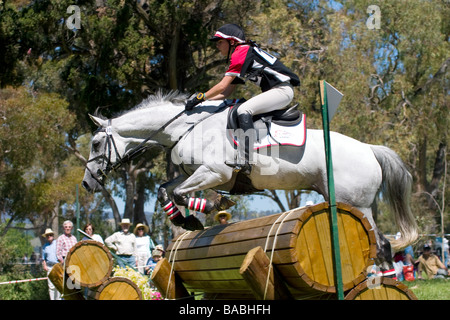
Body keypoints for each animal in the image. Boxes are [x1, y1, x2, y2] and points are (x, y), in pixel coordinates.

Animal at [83, 91, 418, 266]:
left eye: (96, 144)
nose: (87, 183)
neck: (186, 128)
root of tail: (369, 149)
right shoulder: (196, 174)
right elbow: (167, 191)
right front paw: (188, 220)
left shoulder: (216, 172)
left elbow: (180, 194)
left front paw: (206, 211)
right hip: (342, 201)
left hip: (358, 205)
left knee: (382, 246)